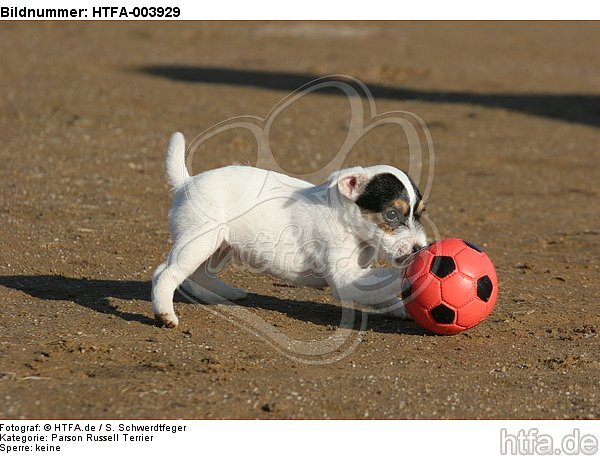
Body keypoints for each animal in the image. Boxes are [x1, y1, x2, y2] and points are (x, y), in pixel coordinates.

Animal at [152, 132, 428, 328]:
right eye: (391, 215)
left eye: (419, 214)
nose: (421, 249)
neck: (346, 223)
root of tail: (185, 183)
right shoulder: (346, 279)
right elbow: (387, 280)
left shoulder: (357, 276)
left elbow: (381, 291)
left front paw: (399, 308)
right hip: (200, 241)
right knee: (165, 272)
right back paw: (165, 312)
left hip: (221, 246)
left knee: (196, 275)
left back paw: (223, 295)